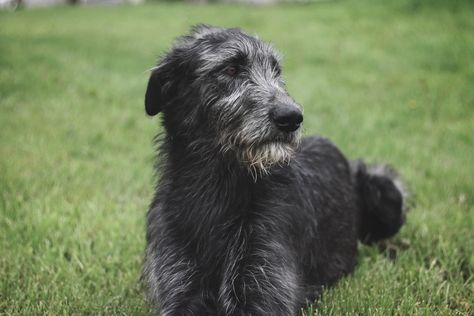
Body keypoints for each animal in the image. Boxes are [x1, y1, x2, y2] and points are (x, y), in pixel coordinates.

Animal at [143, 25, 406, 316]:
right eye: (231, 69)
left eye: (276, 71)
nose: (291, 117)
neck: (217, 186)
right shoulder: (178, 282)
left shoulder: (264, 286)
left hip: (385, 192)